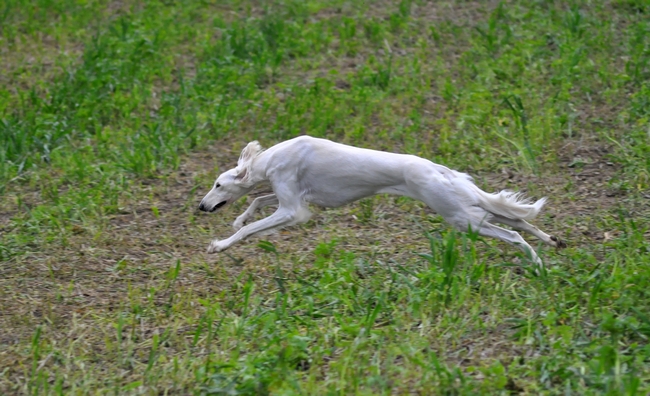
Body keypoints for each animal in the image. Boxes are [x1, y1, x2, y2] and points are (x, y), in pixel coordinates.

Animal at [197, 135, 560, 266]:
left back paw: (536, 262)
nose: (201, 206)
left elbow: (250, 228)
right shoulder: (294, 198)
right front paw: (239, 218)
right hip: (465, 208)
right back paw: (551, 241)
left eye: (217, 184)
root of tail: (439, 169)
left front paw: (220, 245)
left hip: (460, 216)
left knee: (512, 232)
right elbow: (257, 202)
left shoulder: (295, 210)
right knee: (518, 220)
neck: (273, 158)